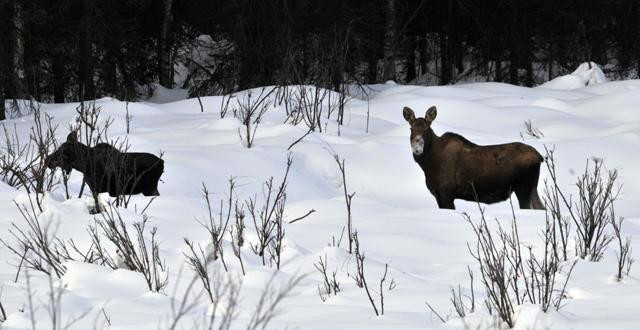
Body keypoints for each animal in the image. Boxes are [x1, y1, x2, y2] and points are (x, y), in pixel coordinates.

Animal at [402, 105, 544, 209]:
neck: (428, 164)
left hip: (523, 187)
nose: (417, 148)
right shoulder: (438, 195)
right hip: (532, 188)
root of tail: (540, 157)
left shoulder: (446, 193)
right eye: (411, 128)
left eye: (427, 129)